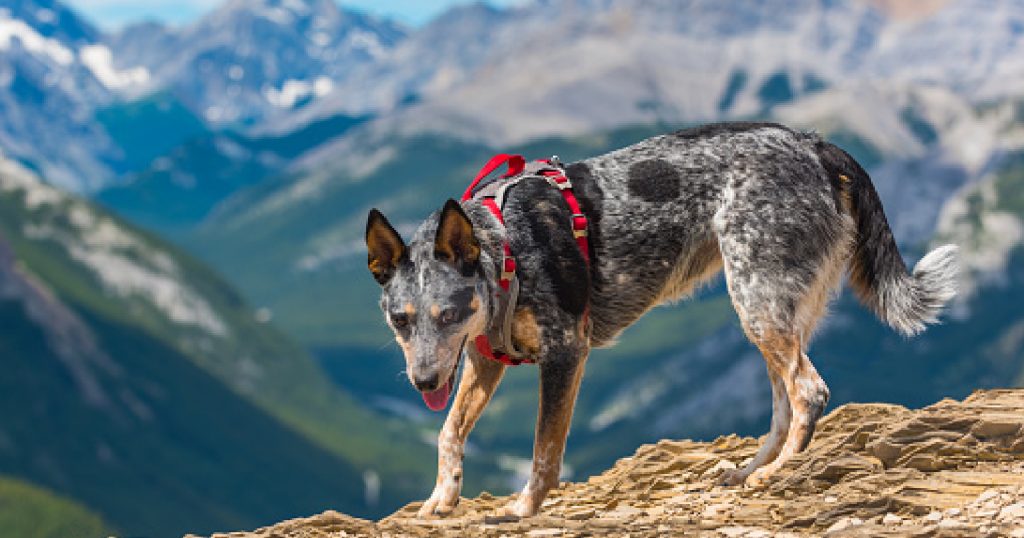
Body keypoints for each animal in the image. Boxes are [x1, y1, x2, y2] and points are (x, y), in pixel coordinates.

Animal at [368, 121, 958, 516]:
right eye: (400, 320)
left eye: (450, 313)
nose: (423, 381)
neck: (501, 248)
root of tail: (815, 144)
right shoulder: (483, 364)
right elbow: (449, 431)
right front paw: (441, 499)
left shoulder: (564, 353)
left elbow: (544, 449)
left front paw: (525, 508)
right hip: (773, 311)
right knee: (784, 403)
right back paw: (751, 469)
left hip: (758, 302)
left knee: (808, 392)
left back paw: (777, 474)